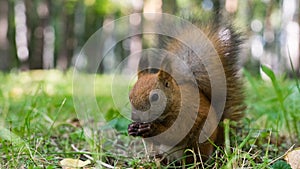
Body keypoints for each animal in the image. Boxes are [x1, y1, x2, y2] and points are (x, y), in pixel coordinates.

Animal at [127, 18, 246, 165]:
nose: (135, 118)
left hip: (199, 141)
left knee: (195, 157)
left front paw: (151, 128)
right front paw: (132, 128)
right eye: (130, 96)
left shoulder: (186, 114)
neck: (175, 101)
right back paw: (159, 161)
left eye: (155, 97)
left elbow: (174, 133)